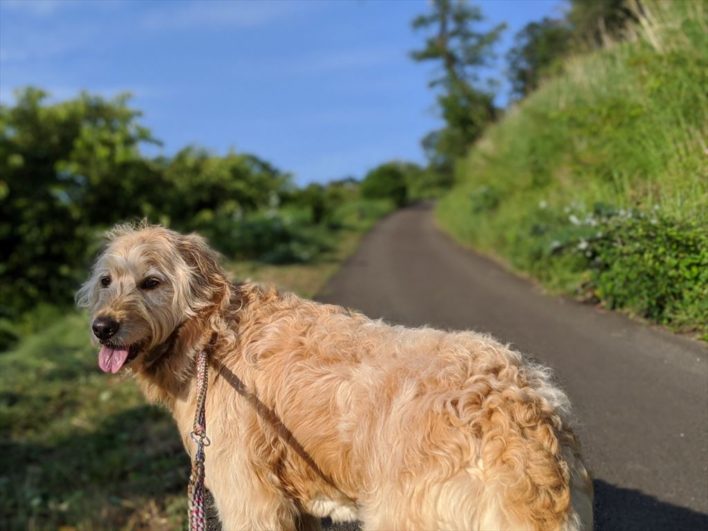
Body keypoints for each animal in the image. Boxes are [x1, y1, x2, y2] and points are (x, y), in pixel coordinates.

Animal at [77, 224, 596, 531]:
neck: (210, 333)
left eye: (152, 282)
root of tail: (517, 420)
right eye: (107, 281)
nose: (102, 328)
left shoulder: (249, 495)